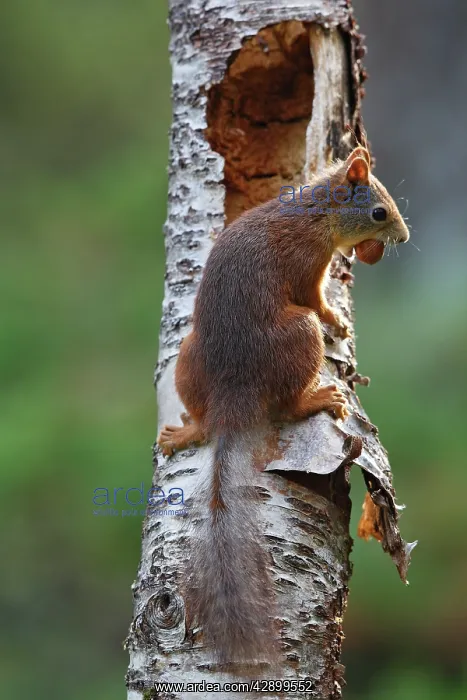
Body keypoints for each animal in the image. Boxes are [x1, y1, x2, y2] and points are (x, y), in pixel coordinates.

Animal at [157, 146, 410, 664]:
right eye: (379, 212)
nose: (403, 236)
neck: (315, 211)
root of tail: (233, 398)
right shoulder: (307, 265)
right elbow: (316, 299)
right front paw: (337, 319)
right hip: (299, 334)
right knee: (289, 403)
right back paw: (319, 396)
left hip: (187, 356)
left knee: (205, 420)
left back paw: (186, 430)